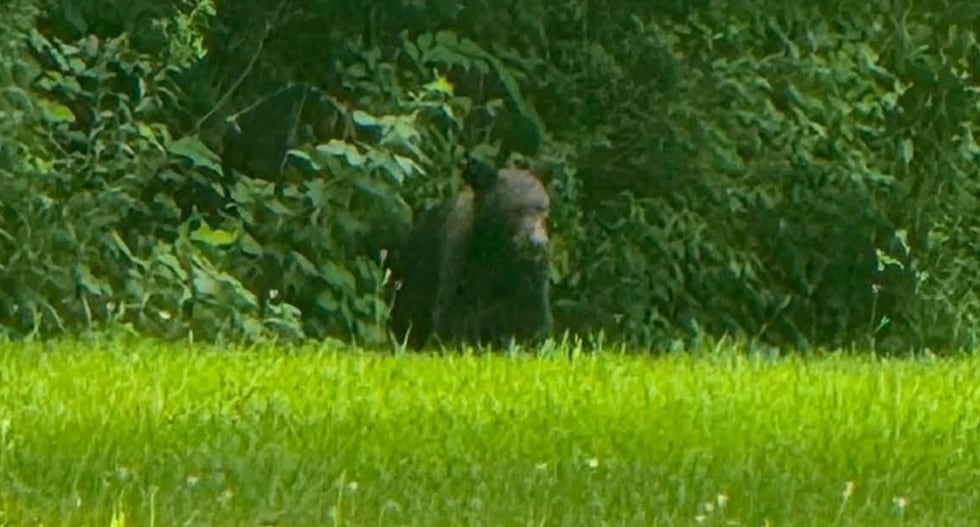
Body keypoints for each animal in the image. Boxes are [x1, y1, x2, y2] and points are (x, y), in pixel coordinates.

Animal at [390, 156, 553, 349]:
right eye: (515, 210)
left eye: (542, 208)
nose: (537, 243)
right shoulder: (461, 261)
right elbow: (454, 313)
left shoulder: (530, 273)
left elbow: (532, 315)